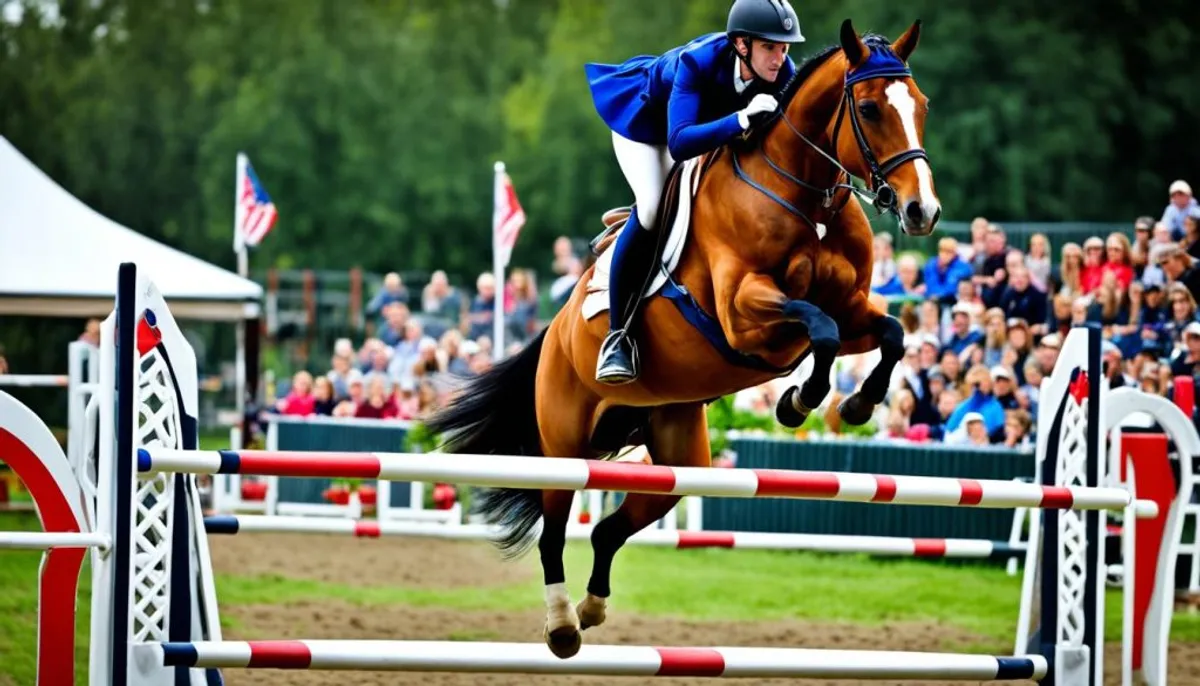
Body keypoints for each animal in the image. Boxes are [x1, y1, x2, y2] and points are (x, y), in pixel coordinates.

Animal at [427, 17, 940, 657]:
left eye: (922, 105)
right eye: (869, 108)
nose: (923, 211)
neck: (805, 196)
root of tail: (555, 332)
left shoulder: (849, 312)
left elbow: (890, 333)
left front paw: (856, 403)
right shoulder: (744, 313)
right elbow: (816, 331)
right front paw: (799, 402)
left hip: (676, 452)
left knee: (608, 529)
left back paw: (593, 609)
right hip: (564, 445)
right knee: (553, 533)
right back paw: (563, 626)